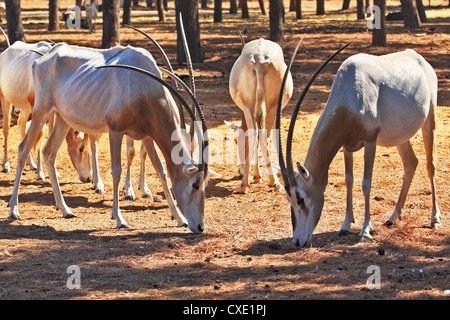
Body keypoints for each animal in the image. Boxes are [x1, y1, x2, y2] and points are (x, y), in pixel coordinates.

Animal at [229, 37, 296, 192]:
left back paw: (245, 184)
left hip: (249, 105)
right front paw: (258, 176)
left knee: (255, 134)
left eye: (237, 141)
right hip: (270, 107)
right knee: (262, 135)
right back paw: (273, 182)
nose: (239, 171)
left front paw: (256, 176)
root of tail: (259, 59)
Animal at [276, 43, 442, 248]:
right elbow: (349, 180)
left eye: (300, 198)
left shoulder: (370, 142)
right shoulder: (347, 146)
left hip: (429, 121)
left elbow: (365, 183)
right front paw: (345, 225)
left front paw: (365, 230)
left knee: (430, 165)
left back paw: (435, 219)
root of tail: (419, 59)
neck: (348, 97)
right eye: (288, 198)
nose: (298, 241)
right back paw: (393, 217)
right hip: (400, 136)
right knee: (411, 162)